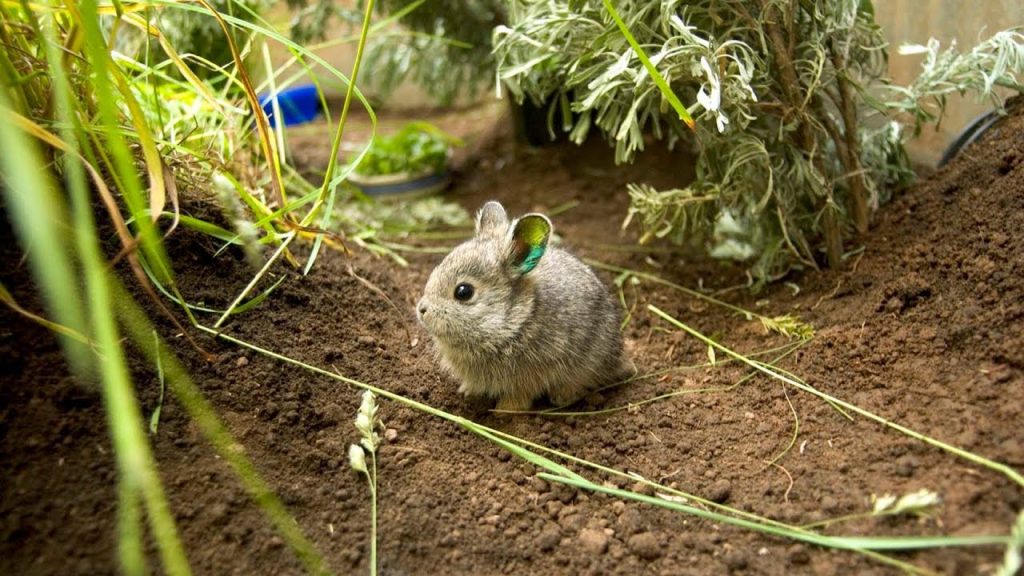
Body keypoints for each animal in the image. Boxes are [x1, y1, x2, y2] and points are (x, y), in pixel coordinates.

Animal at [413, 199, 622, 409]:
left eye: (463, 292)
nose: (422, 310)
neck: (513, 321)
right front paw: (467, 392)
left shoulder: (530, 376)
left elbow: (519, 396)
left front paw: (504, 410)